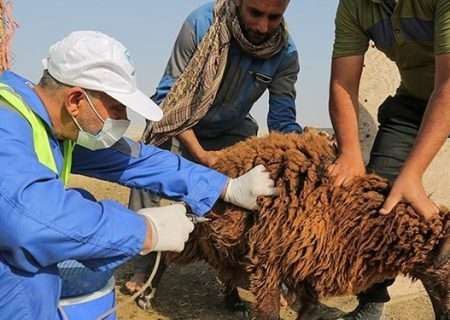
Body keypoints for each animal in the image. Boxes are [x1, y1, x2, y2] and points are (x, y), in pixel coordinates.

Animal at [139, 130, 448, 320]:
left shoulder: (308, 262)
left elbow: (310, 309)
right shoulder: (268, 259)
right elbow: (270, 311)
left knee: (225, 268)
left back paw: (233, 302)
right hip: (198, 233)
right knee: (167, 254)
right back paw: (146, 294)